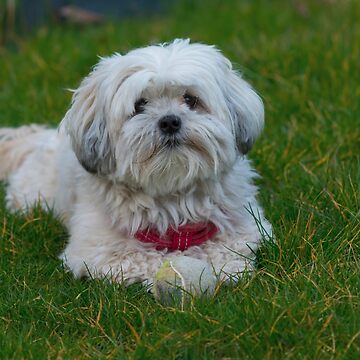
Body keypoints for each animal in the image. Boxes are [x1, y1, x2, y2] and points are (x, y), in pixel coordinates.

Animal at [0, 39, 272, 286]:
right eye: (140, 105)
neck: (171, 193)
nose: (169, 121)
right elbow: (148, 259)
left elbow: (228, 248)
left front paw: (227, 266)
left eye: (190, 99)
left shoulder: (245, 225)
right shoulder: (99, 250)